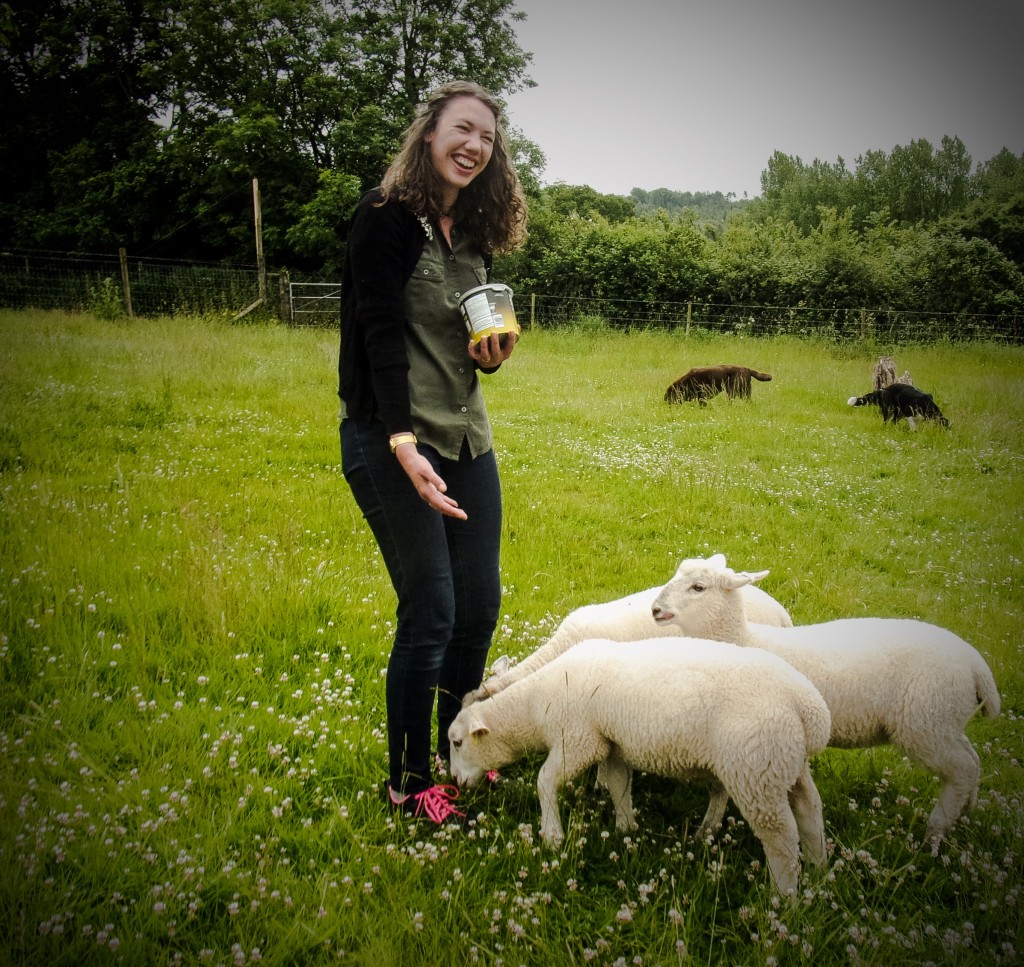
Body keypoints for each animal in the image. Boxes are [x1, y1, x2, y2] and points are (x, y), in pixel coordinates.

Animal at [448, 639, 831, 893]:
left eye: (457, 742)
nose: (454, 782)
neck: (532, 705)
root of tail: (809, 711)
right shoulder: (612, 745)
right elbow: (619, 785)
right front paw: (625, 828)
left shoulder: (579, 739)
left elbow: (545, 780)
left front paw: (552, 835)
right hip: (785, 763)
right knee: (810, 810)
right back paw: (818, 867)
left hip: (755, 767)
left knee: (781, 837)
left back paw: (785, 898)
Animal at [647, 557, 999, 844]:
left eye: (698, 587)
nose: (655, 609)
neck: (743, 638)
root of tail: (977, 667)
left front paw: (706, 829)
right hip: (944, 723)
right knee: (973, 762)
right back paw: (966, 816)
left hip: (925, 722)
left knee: (963, 770)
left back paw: (935, 832)